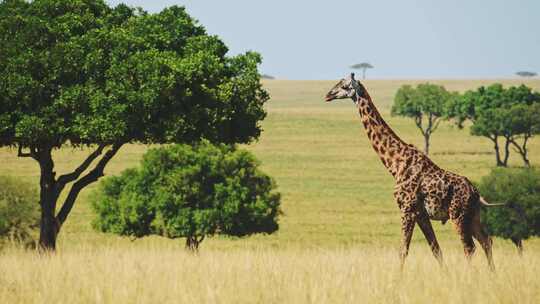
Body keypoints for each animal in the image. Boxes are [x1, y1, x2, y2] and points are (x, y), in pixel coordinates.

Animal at [324, 73, 502, 268]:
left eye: (344, 86)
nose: (328, 95)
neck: (395, 163)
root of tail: (476, 193)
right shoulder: (421, 214)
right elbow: (436, 250)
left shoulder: (407, 208)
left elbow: (403, 250)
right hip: (473, 215)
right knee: (486, 241)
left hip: (458, 215)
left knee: (470, 247)